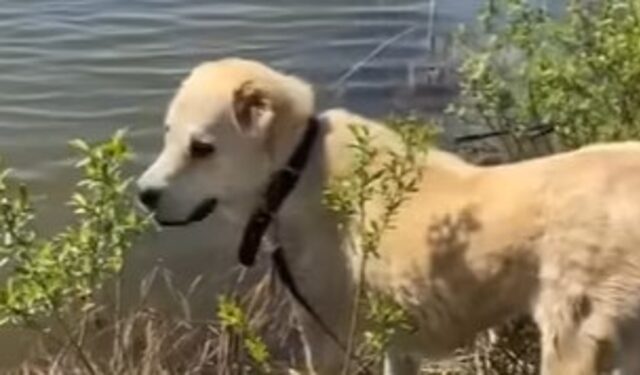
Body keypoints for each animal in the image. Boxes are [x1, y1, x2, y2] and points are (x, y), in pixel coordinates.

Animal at [138, 58, 640, 375]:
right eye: (167, 134)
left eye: (202, 148)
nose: (143, 195)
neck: (297, 168)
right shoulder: (399, 338)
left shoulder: (324, 332)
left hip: (574, 345)